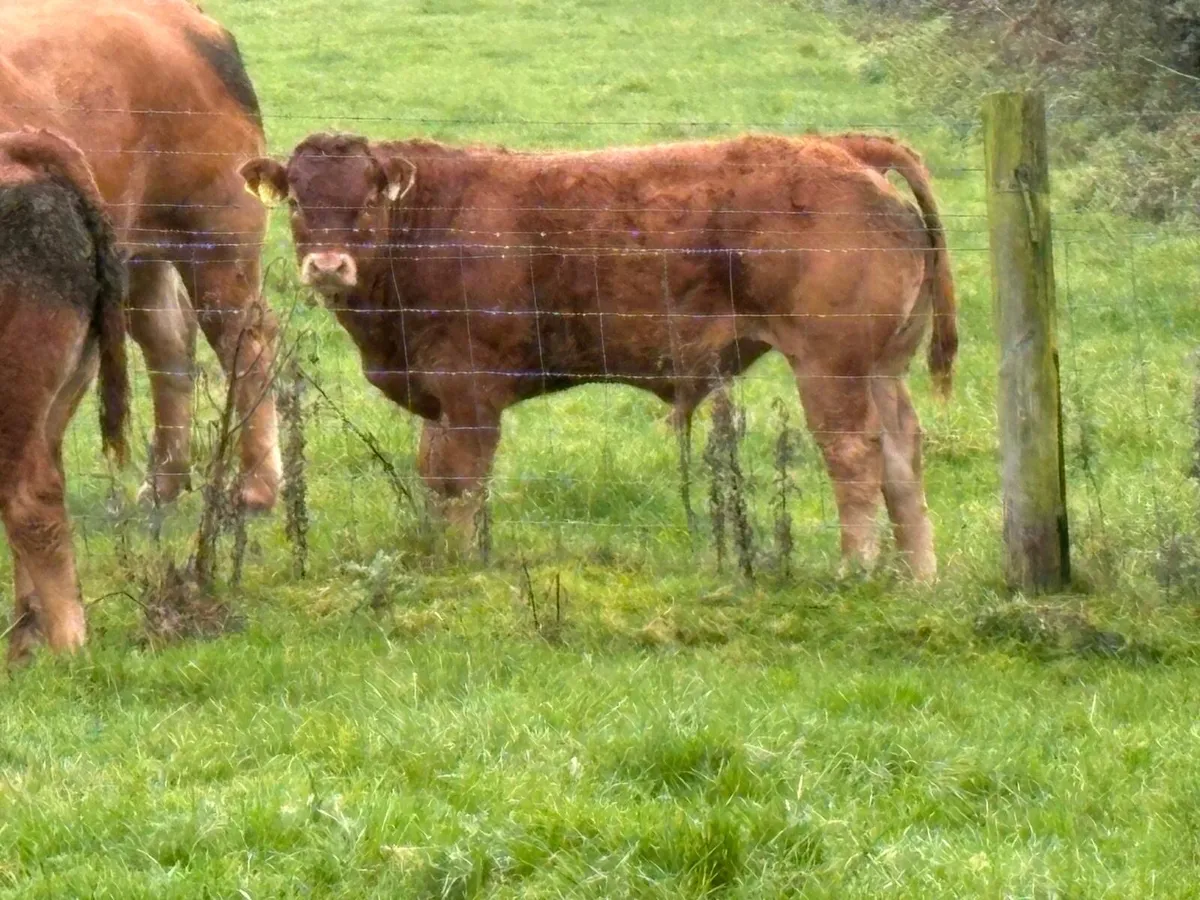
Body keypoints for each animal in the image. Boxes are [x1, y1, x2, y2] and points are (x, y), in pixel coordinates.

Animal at [0, 0, 281, 511]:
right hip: (136, 252)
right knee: (167, 340)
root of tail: (183, 18)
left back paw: (256, 486)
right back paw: (166, 479)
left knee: (244, 339)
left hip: (218, 239)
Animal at [240, 131, 958, 579]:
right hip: (881, 368)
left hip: (831, 367)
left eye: (365, 201)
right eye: (298, 201)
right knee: (902, 456)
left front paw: (463, 564)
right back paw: (919, 578)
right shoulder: (438, 395)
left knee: (855, 455)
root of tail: (844, 146)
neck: (427, 225)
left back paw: (855, 569)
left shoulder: (471, 391)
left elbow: (462, 482)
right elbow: (435, 477)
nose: (327, 266)